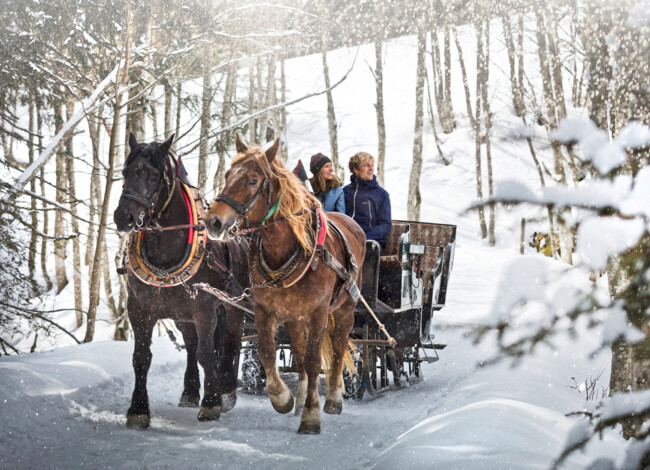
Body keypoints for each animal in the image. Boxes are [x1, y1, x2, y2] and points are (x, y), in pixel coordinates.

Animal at [112, 133, 247, 430]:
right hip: (182, 315)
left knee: (230, 343)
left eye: (153, 176)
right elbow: (142, 358)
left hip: (233, 306)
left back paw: (227, 391)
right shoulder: (139, 309)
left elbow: (208, 354)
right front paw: (138, 409)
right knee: (192, 346)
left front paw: (212, 403)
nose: (123, 217)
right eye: (125, 172)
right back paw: (190, 391)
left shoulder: (205, 309)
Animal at [204, 136, 364, 434]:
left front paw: (311, 415)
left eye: (253, 180)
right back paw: (300, 399)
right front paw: (283, 398)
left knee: (338, 347)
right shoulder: (265, 310)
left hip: (345, 307)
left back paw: (333, 398)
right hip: (294, 317)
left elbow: (314, 361)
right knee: (299, 353)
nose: (213, 221)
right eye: (228, 175)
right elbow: (268, 352)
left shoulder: (318, 313)